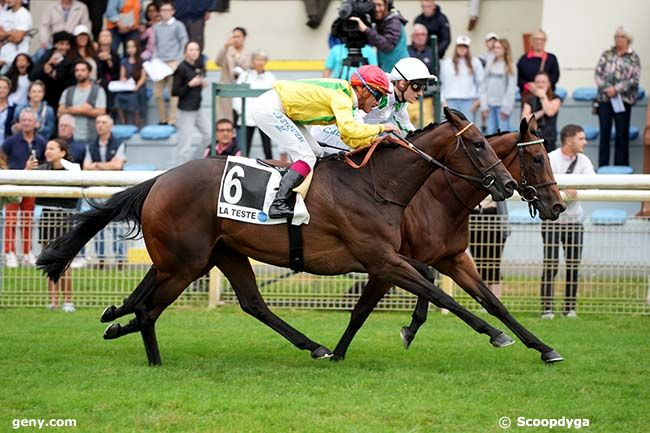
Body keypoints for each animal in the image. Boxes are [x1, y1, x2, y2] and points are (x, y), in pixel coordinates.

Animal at [39, 106, 516, 362]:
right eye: (477, 144)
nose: (508, 184)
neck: (375, 183)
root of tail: (158, 180)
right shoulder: (381, 257)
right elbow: (438, 293)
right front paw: (496, 333)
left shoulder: (387, 259)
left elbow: (431, 290)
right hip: (186, 263)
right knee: (149, 310)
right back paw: (150, 355)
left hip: (216, 254)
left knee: (248, 304)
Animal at [332, 116, 564, 362]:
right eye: (538, 159)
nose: (558, 206)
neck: (437, 201)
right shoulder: (384, 265)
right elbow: (363, 309)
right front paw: (338, 353)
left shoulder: (453, 259)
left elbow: (493, 302)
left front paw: (544, 348)